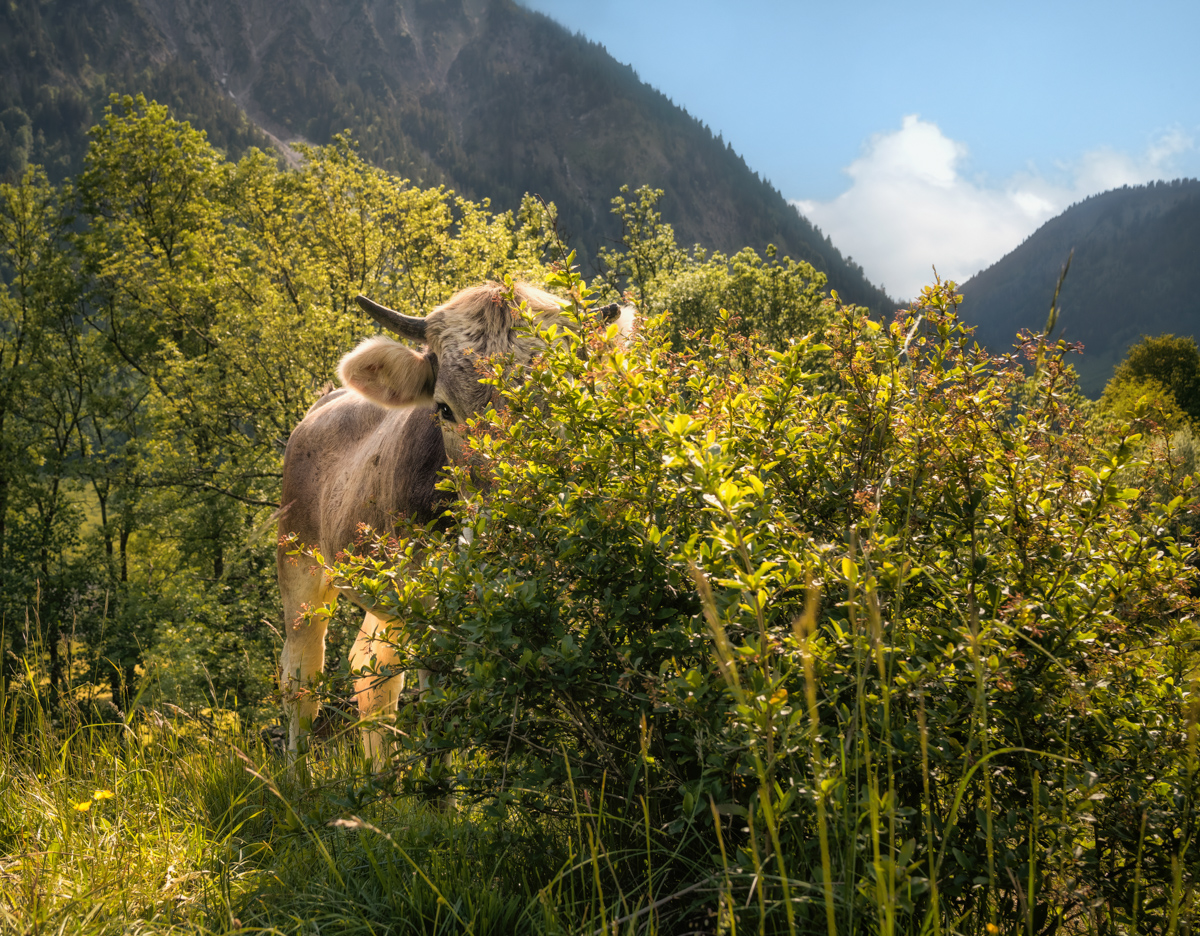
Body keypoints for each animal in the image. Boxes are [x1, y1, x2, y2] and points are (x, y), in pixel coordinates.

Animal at [277, 281, 633, 763]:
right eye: (444, 409)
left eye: (558, 401)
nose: (509, 519)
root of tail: (322, 404)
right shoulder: (431, 606)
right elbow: (441, 708)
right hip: (299, 566)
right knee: (301, 681)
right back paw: (295, 776)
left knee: (373, 675)